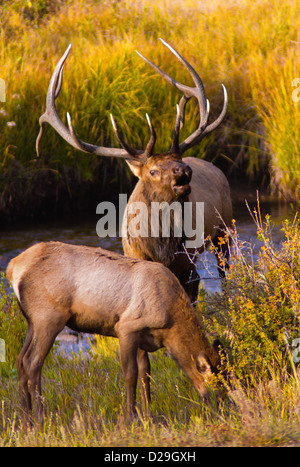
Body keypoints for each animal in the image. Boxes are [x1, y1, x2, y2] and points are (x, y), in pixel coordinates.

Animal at [6, 241, 223, 424]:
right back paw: (40, 418)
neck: (169, 327)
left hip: (32, 321)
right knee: (33, 362)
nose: (224, 411)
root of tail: (12, 268)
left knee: (20, 359)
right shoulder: (126, 328)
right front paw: (131, 416)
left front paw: (148, 413)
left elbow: (145, 372)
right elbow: (131, 373)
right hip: (48, 318)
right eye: (217, 385)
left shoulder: (143, 337)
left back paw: (25, 419)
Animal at [35, 41, 232, 304]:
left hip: (225, 229)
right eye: (153, 170)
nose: (184, 170)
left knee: (224, 270)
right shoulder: (136, 255)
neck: (161, 247)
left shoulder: (187, 258)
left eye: (178, 160)